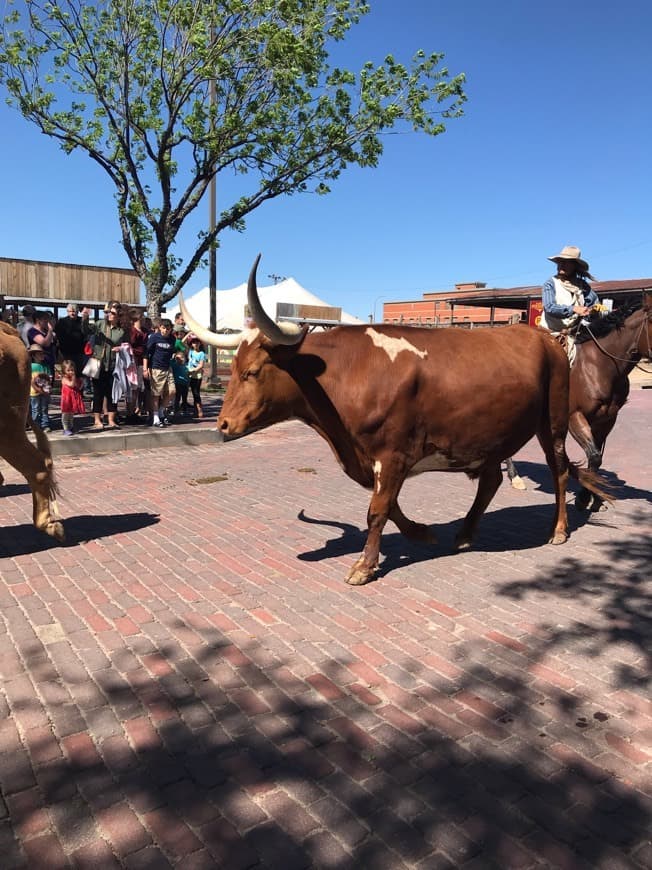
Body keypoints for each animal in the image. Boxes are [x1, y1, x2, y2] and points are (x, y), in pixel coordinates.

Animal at [510, 302, 652, 510]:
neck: (600, 365)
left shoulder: (607, 420)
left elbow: (597, 458)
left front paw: (593, 495)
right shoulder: (575, 416)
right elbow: (593, 455)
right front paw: (584, 497)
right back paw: (515, 478)